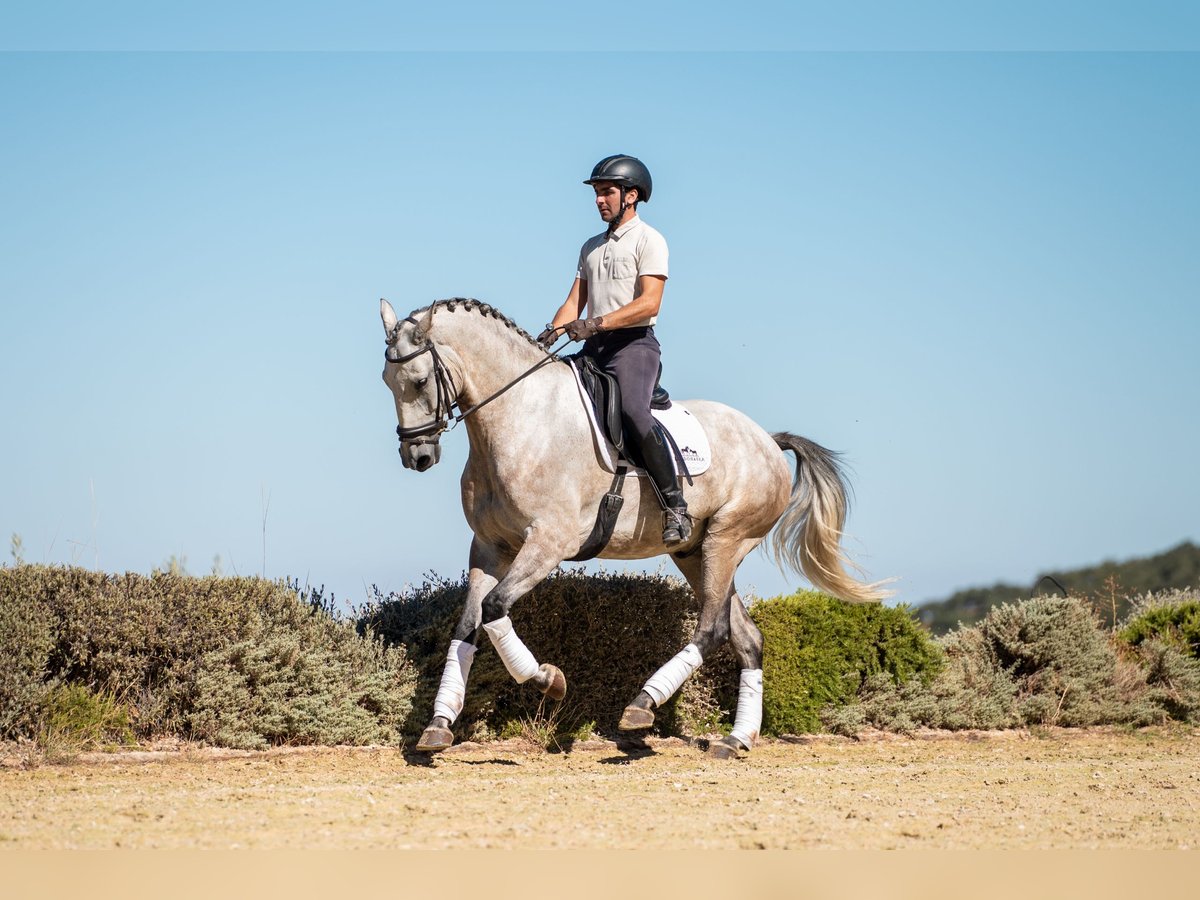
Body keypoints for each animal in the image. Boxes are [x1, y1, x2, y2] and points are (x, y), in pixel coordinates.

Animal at [376, 297, 892, 763]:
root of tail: (767, 439)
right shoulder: (489, 547)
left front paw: (549, 680)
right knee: (745, 636)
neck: (520, 419)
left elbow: (495, 607)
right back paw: (736, 739)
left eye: (419, 380)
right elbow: (468, 624)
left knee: (711, 628)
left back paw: (642, 706)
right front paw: (439, 725)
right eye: (386, 381)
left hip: (727, 539)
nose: (416, 456)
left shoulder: (548, 542)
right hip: (695, 553)